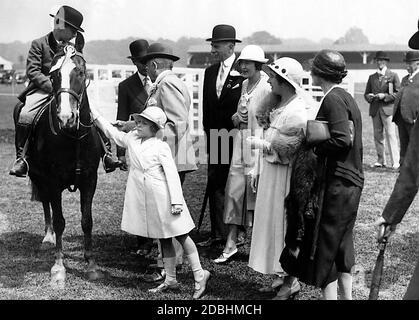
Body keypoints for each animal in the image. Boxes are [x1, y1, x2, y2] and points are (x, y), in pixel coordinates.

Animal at [15, 44, 104, 284]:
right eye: (54, 75)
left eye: (81, 73)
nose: (66, 117)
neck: (73, 137)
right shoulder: (53, 182)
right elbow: (59, 221)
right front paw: (58, 267)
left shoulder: (90, 180)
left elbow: (87, 220)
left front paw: (91, 265)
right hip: (39, 178)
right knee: (46, 205)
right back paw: (48, 237)